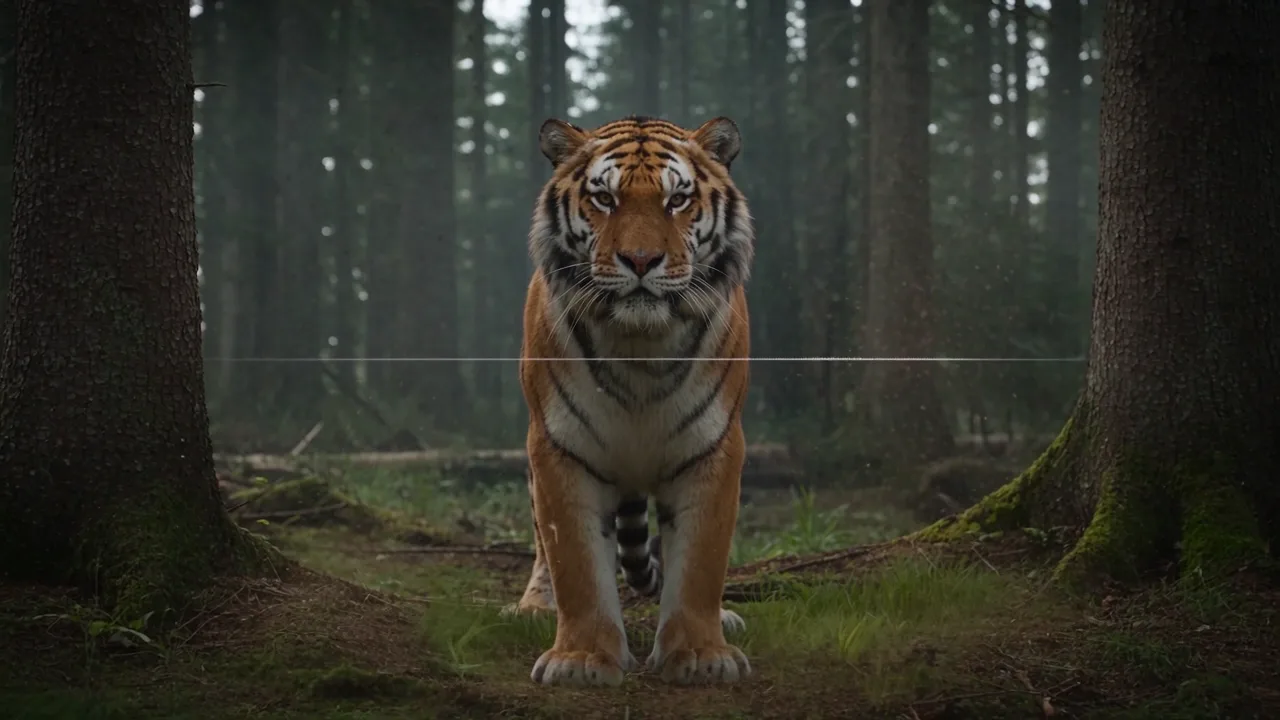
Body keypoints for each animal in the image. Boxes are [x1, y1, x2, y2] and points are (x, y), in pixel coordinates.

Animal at [503, 115, 755, 688]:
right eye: (605, 198)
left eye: (677, 200)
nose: (641, 260)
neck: (642, 347)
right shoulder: (559, 448)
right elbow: (574, 562)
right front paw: (581, 660)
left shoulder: (714, 446)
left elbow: (702, 559)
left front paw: (702, 655)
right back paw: (533, 607)